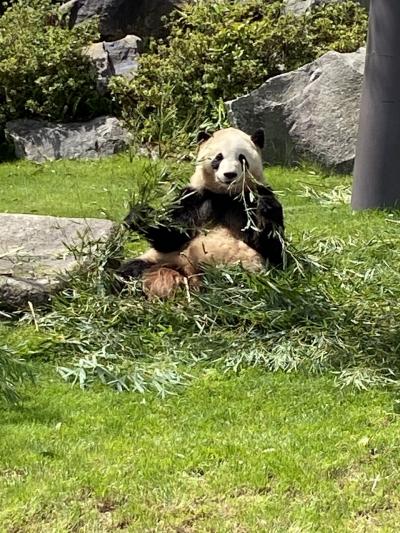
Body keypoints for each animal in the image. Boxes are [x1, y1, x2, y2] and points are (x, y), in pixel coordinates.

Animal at [117, 127, 286, 298]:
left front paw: (267, 208)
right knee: (128, 271)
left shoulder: (254, 195)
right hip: (162, 259)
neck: (224, 196)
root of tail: (191, 276)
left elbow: (274, 249)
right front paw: (140, 215)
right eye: (218, 158)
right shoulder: (194, 198)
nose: (229, 174)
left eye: (242, 158)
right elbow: (171, 237)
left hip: (244, 269)